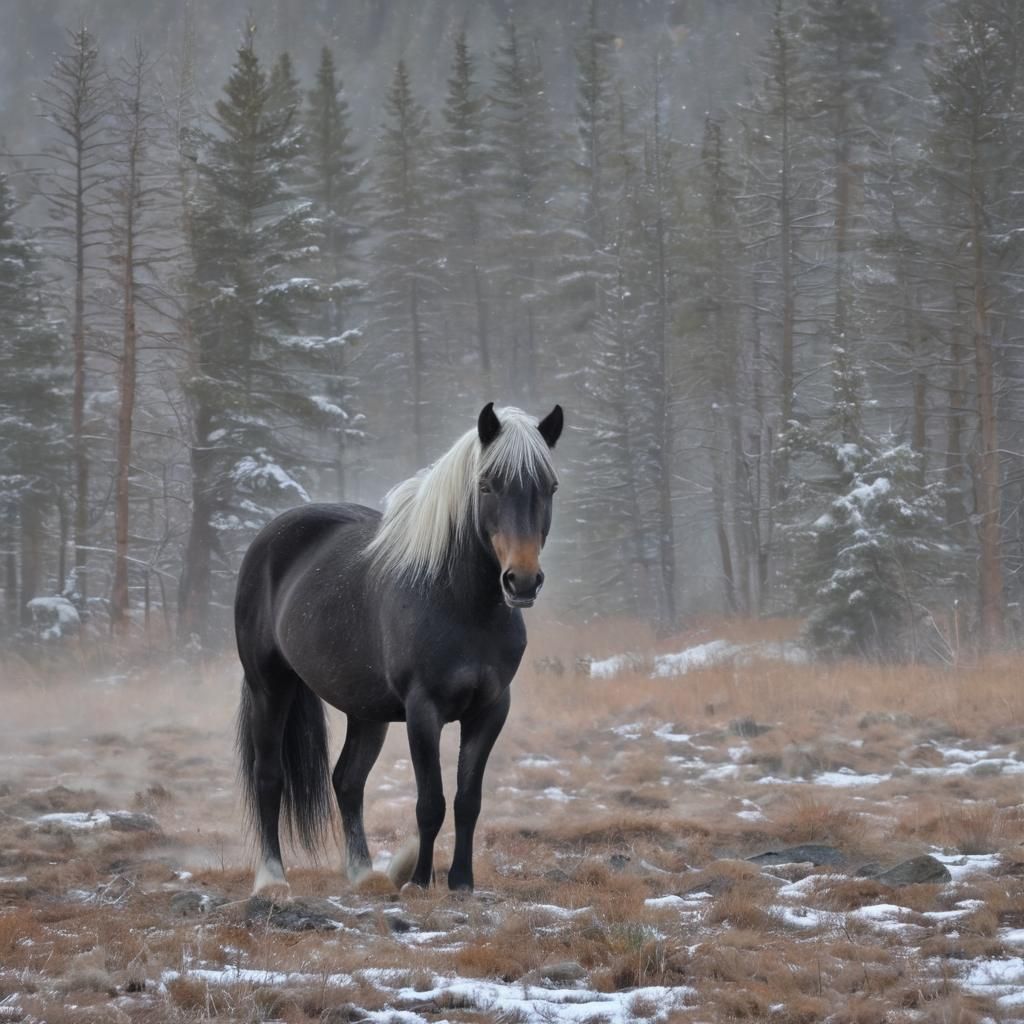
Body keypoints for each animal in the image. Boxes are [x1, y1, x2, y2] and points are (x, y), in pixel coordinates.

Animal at [234, 402, 563, 894]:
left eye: (549, 487)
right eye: (487, 485)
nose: (521, 581)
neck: (461, 603)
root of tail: (268, 538)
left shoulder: (490, 709)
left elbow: (468, 800)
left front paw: (461, 882)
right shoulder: (423, 710)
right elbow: (431, 802)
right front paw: (420, 881)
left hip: (365, 711)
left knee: (347, 781)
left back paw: (361, 872)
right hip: (269, 688)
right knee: (269, 777)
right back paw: (272, 877)